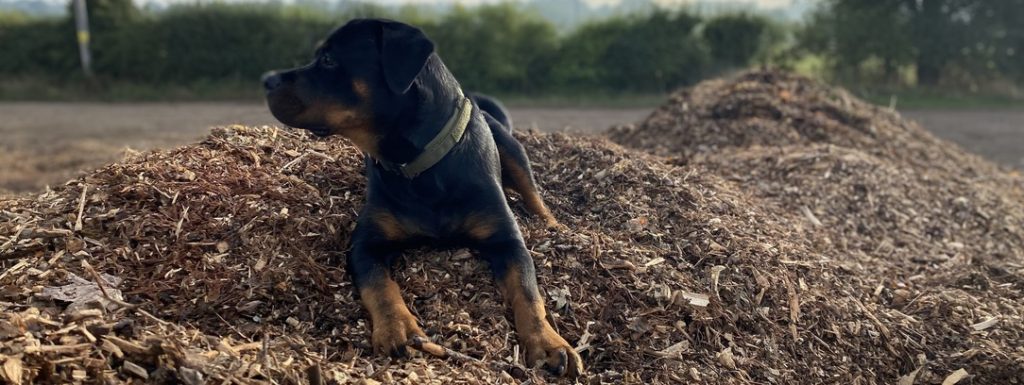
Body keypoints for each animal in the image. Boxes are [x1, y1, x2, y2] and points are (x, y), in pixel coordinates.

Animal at [260, 18, 585, 376]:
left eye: (329, 60)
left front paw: (548, 343)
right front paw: (397, 328)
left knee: (532, 192)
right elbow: (380, 287)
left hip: (511, 148)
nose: (267, 79)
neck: (420, 167)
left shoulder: (507, 242)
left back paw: (553, 225)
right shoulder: (365, 245)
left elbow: (528, 292)